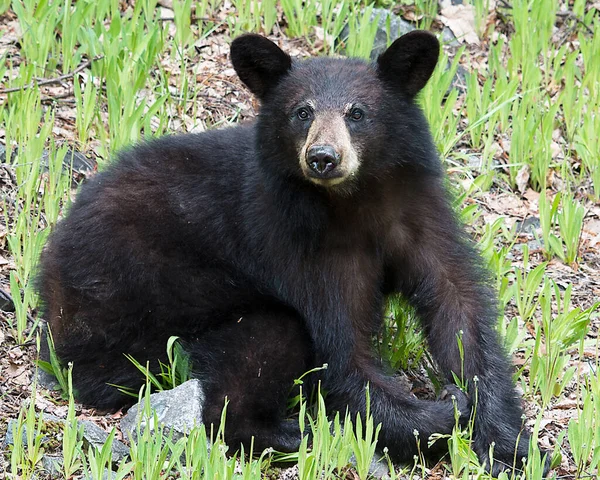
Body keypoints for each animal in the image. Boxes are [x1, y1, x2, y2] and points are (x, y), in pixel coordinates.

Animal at [36, 31, 544, 474]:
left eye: (358, 112)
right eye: (302, 112)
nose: (323, 157)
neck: (355, 203)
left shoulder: (416, 214)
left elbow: (458, 307)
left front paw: (504, 440)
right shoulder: (301, 244)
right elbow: (342, 350)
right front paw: (443, 413)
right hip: (150, 294)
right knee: (261, 346)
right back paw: (294, 435)